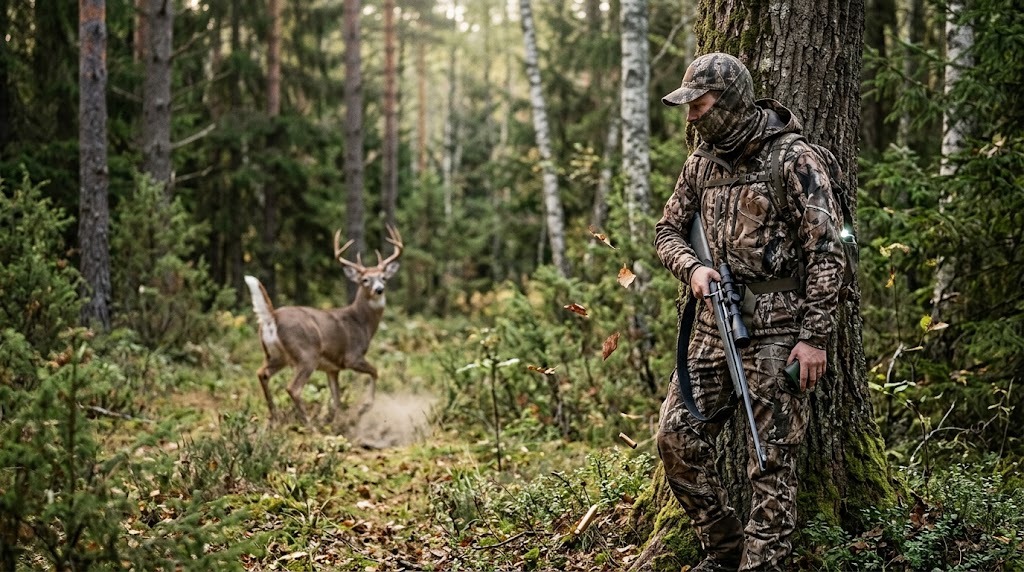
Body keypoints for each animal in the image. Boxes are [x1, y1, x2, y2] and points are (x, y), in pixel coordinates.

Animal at [243, 225, 403, 426]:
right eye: (365, 280)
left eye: (383, 278)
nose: (379, 289)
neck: (361, 322)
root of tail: (272, 317)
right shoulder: (352, 356)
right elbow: (375, 371)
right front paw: (363, 408)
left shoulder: (332, 368)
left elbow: (337, 399)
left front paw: (338, 423)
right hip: (306, 354)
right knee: (293, 388)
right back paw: (309, 424)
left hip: (276, 356)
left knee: (262, 374)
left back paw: (275, 418)